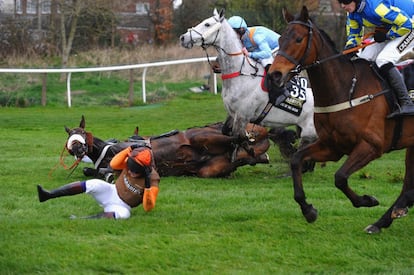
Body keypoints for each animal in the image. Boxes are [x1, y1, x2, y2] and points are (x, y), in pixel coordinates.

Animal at [64, 115, 272, 180]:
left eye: (82, 133)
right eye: (69, 140)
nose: (78, 150)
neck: (105, 149)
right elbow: (89, 170)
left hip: (201, 137)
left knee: (236, 138)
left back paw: (247, 140)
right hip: (209, 169)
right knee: (240, 156)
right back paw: (256, 156)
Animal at [179, 8, 316, 170]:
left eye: (207, 24)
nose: (183, 38)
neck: (241, 74)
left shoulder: (243, 115)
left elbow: (240, 136)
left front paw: (250, 150)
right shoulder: (233, 114)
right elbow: (228, 132)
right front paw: (234, 153)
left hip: (309, 129)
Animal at [266, 5, 414, 234]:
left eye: (298, 39)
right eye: (281, 39)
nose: (274, 75)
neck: (346, 89)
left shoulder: (371, 145)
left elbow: (340, 177)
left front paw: (367, 200)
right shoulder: (332, 146)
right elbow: (296, 160)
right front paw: (308, 210)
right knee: (408, 188)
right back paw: (383, 221)